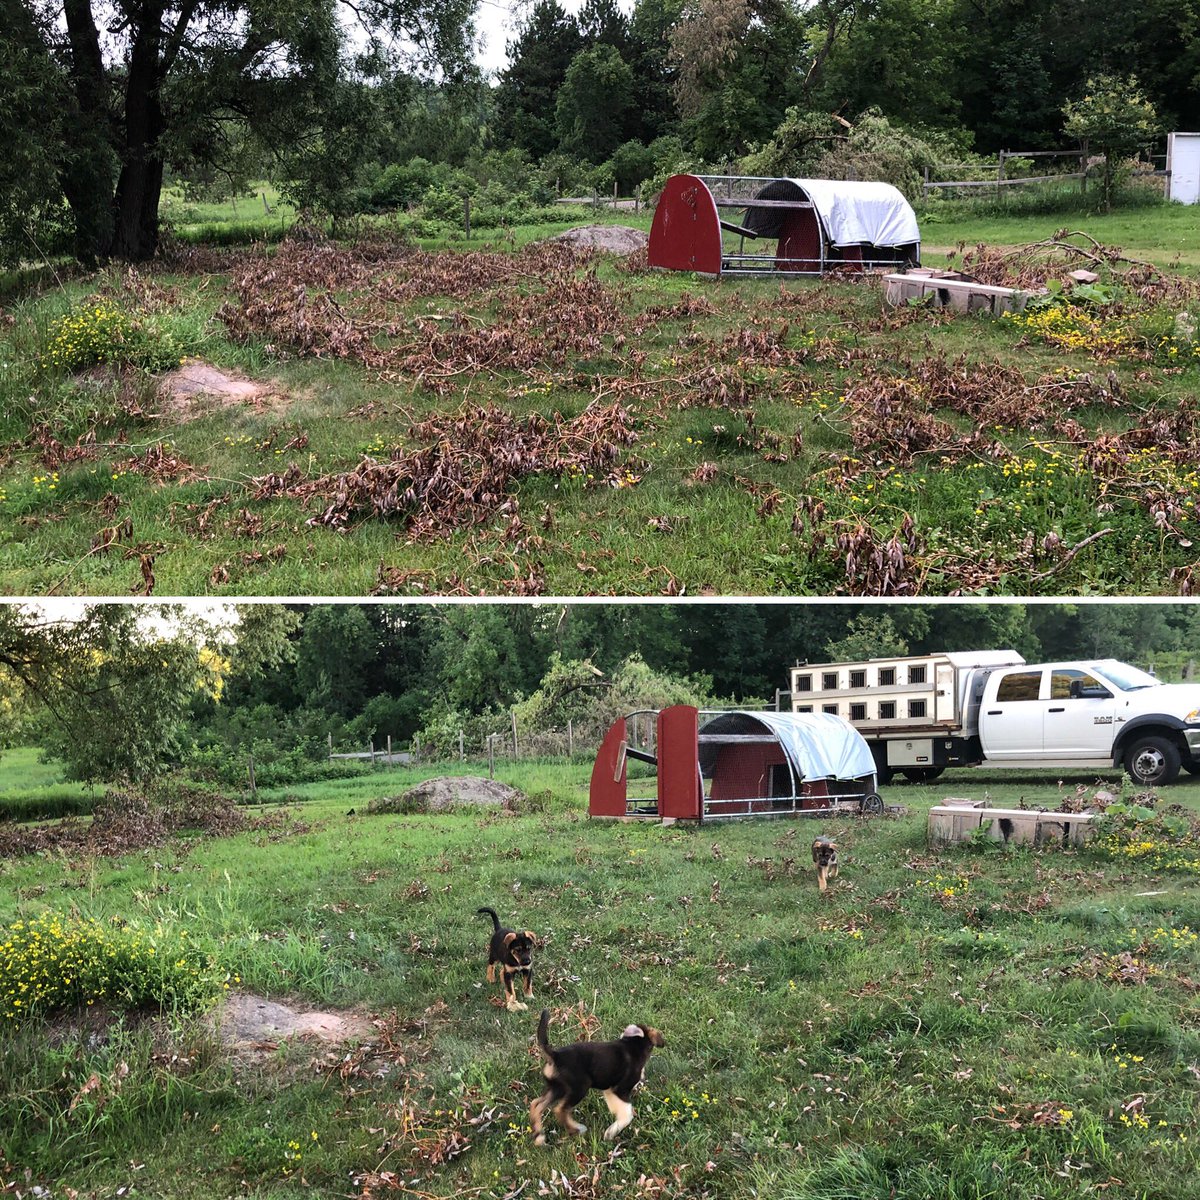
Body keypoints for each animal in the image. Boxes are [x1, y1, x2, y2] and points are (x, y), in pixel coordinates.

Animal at [532, 1003, 667, 1142]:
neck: (632, 1045)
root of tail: (555, 1055)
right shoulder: (621, 1089)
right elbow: (627, 1113)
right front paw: (611, 1132)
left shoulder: (609, 1090)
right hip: (579, 1087)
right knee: (559, 1109)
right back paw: (576, 1129)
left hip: (557, 1088)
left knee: (536, 1104)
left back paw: (539, 1136)